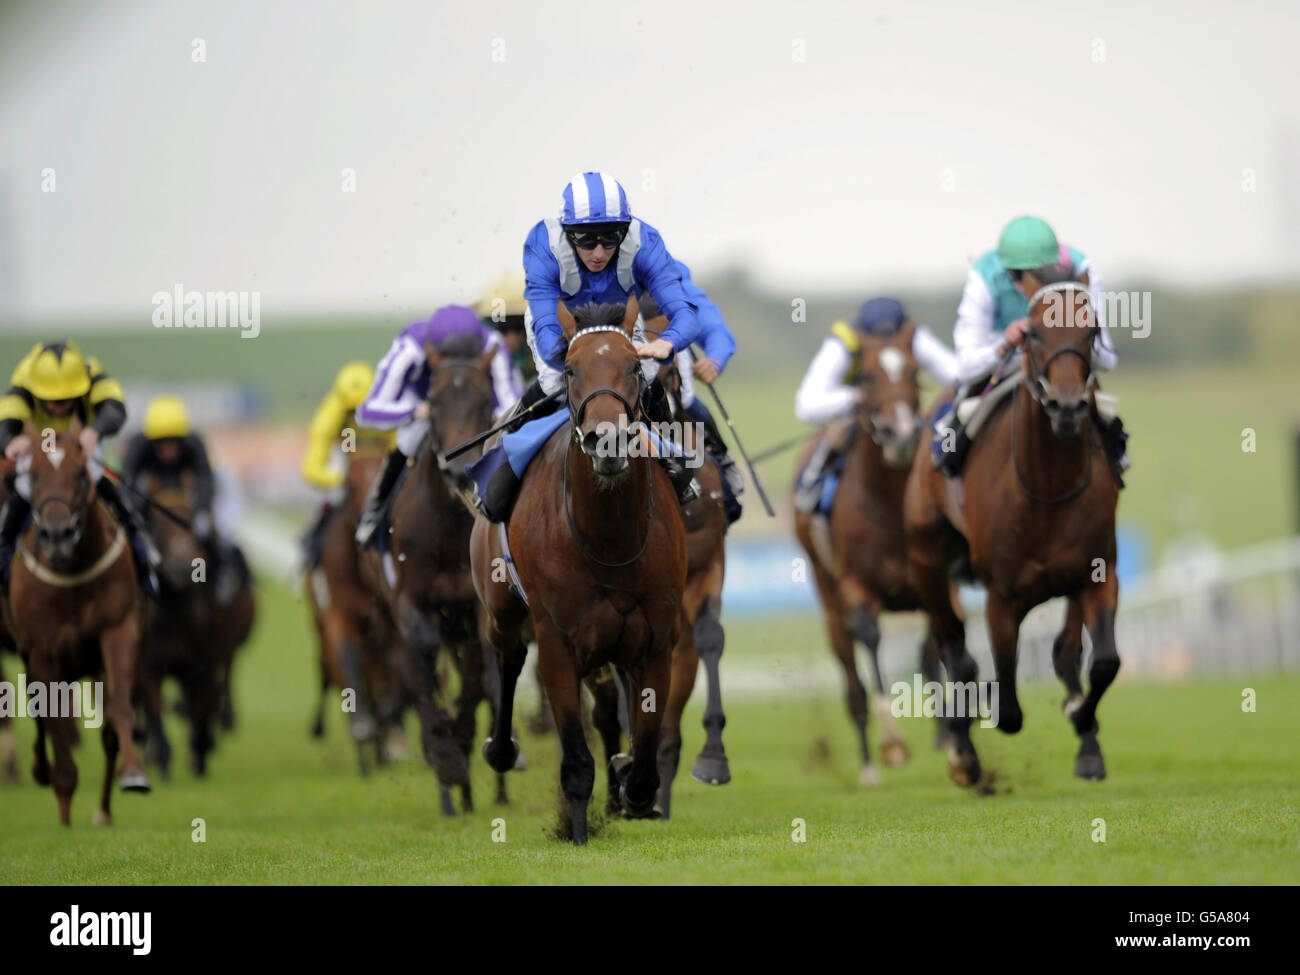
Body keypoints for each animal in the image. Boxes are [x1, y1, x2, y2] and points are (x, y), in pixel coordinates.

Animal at [1, 423, 149, 826]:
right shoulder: (42, 651)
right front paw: (65, 807)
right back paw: (39, 771)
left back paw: (103, 810)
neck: (73, 571)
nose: (57, 535)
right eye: (34, 474)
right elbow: (51, 719)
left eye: (82, 473)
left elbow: (118, 709)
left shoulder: (118, 630)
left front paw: (133, 773)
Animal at [470, 300, 691, 847]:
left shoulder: (656, 641)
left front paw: (634, 788)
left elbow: (646, 753)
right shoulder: (558, 644)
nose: (606, 441)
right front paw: (576, 830)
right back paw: (501, 749)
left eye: (635, 366)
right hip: (501, 612)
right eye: (570, 370)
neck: (609, 540)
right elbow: (575, 759)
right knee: (508, 658)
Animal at [790, 325, 946, 790]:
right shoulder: (857, 587)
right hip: (827, 594)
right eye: (867, 378)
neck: (891, 505)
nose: (902, 433)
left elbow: (931, 652)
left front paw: (950, 738)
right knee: (851, 676)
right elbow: (871, 639)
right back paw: (868, 763)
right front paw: (892, 741)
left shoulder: (938, 582)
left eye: (913, 372)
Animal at [909, 273, 1123, 785]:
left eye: (1091, 332)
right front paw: (969, 727)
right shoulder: (1002, 595)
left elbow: (1103, 662)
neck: (1047, 489)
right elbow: (1006, 706)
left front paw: (1082, 720)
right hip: (927, 559)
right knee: (953, 649)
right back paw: (963, 751)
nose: (1066, 408)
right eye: (1032, 334)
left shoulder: (1098, 574)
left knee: (1066, 652)